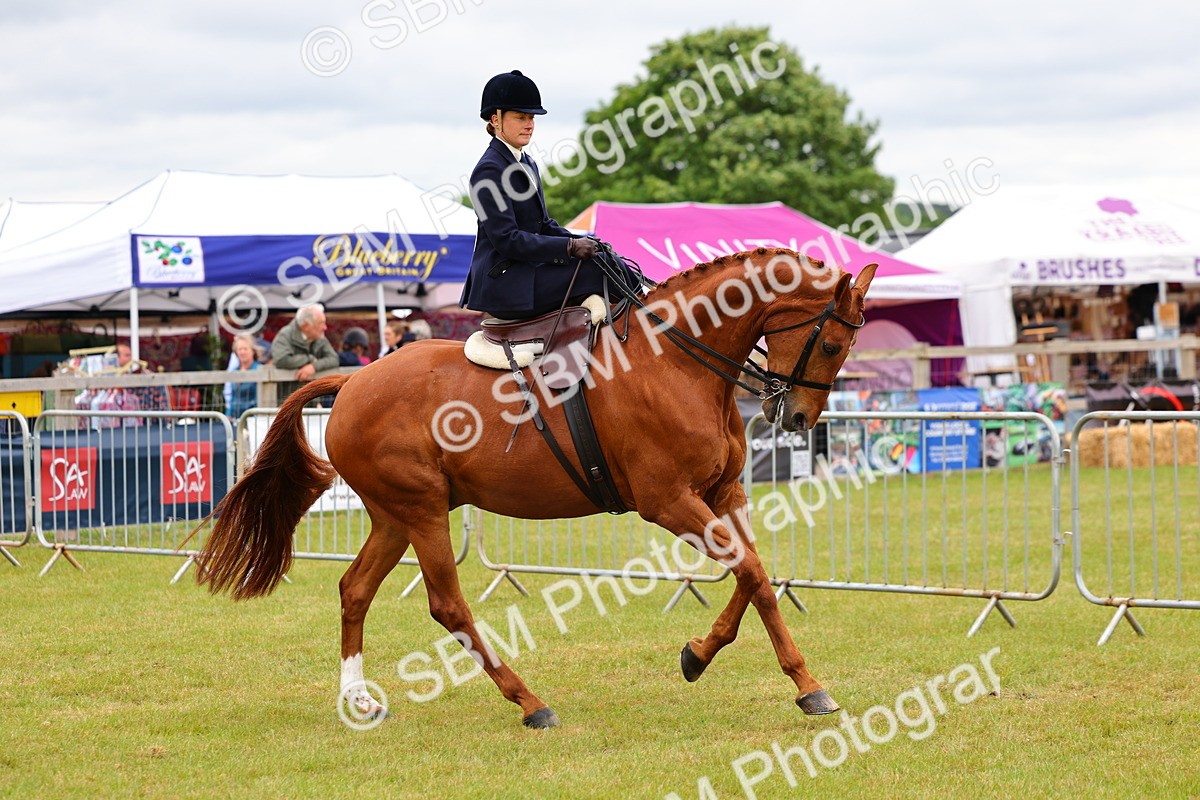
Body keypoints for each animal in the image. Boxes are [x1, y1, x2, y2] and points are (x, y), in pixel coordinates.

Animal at [194, 247, 878, 729]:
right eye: (832, 342)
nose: (798, 420)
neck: (678, 361)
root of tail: (353, 381)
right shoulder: (668, 503)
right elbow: (752, 572)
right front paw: (808, 688)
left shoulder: (724, 495)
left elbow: (754, 574)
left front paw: (701, 654)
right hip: (422, 511)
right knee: (447, 605)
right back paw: (530, 703)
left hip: (395, 516)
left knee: (354, 589)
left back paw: (358, 702)